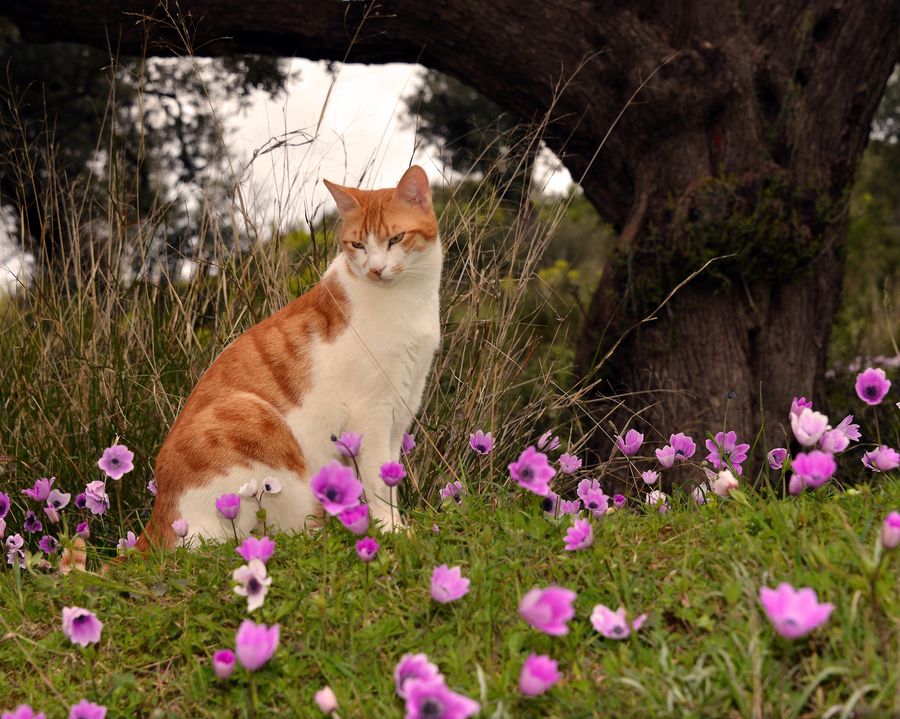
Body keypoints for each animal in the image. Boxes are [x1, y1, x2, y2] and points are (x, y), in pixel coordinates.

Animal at [135, 166, 442, 548]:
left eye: (396, 239)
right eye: (358, 245)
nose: (375, 269)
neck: (408, 299)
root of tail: (160, 516)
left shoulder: (400, 412)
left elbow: (391, 477)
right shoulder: (371, 415)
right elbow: (377, 483)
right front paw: (391, 529)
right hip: (256, 424)